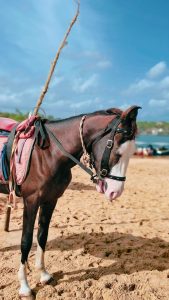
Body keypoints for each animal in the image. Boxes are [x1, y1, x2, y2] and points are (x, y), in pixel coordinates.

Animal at [0, 105, 140, 298]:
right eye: (117, 152)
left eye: (132, 153)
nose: (115, 192)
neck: (48, 153)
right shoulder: (31, 201)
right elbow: (26, 241)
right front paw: (24, 286)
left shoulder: (50, 200)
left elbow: (42, 236)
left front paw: (43, 275)